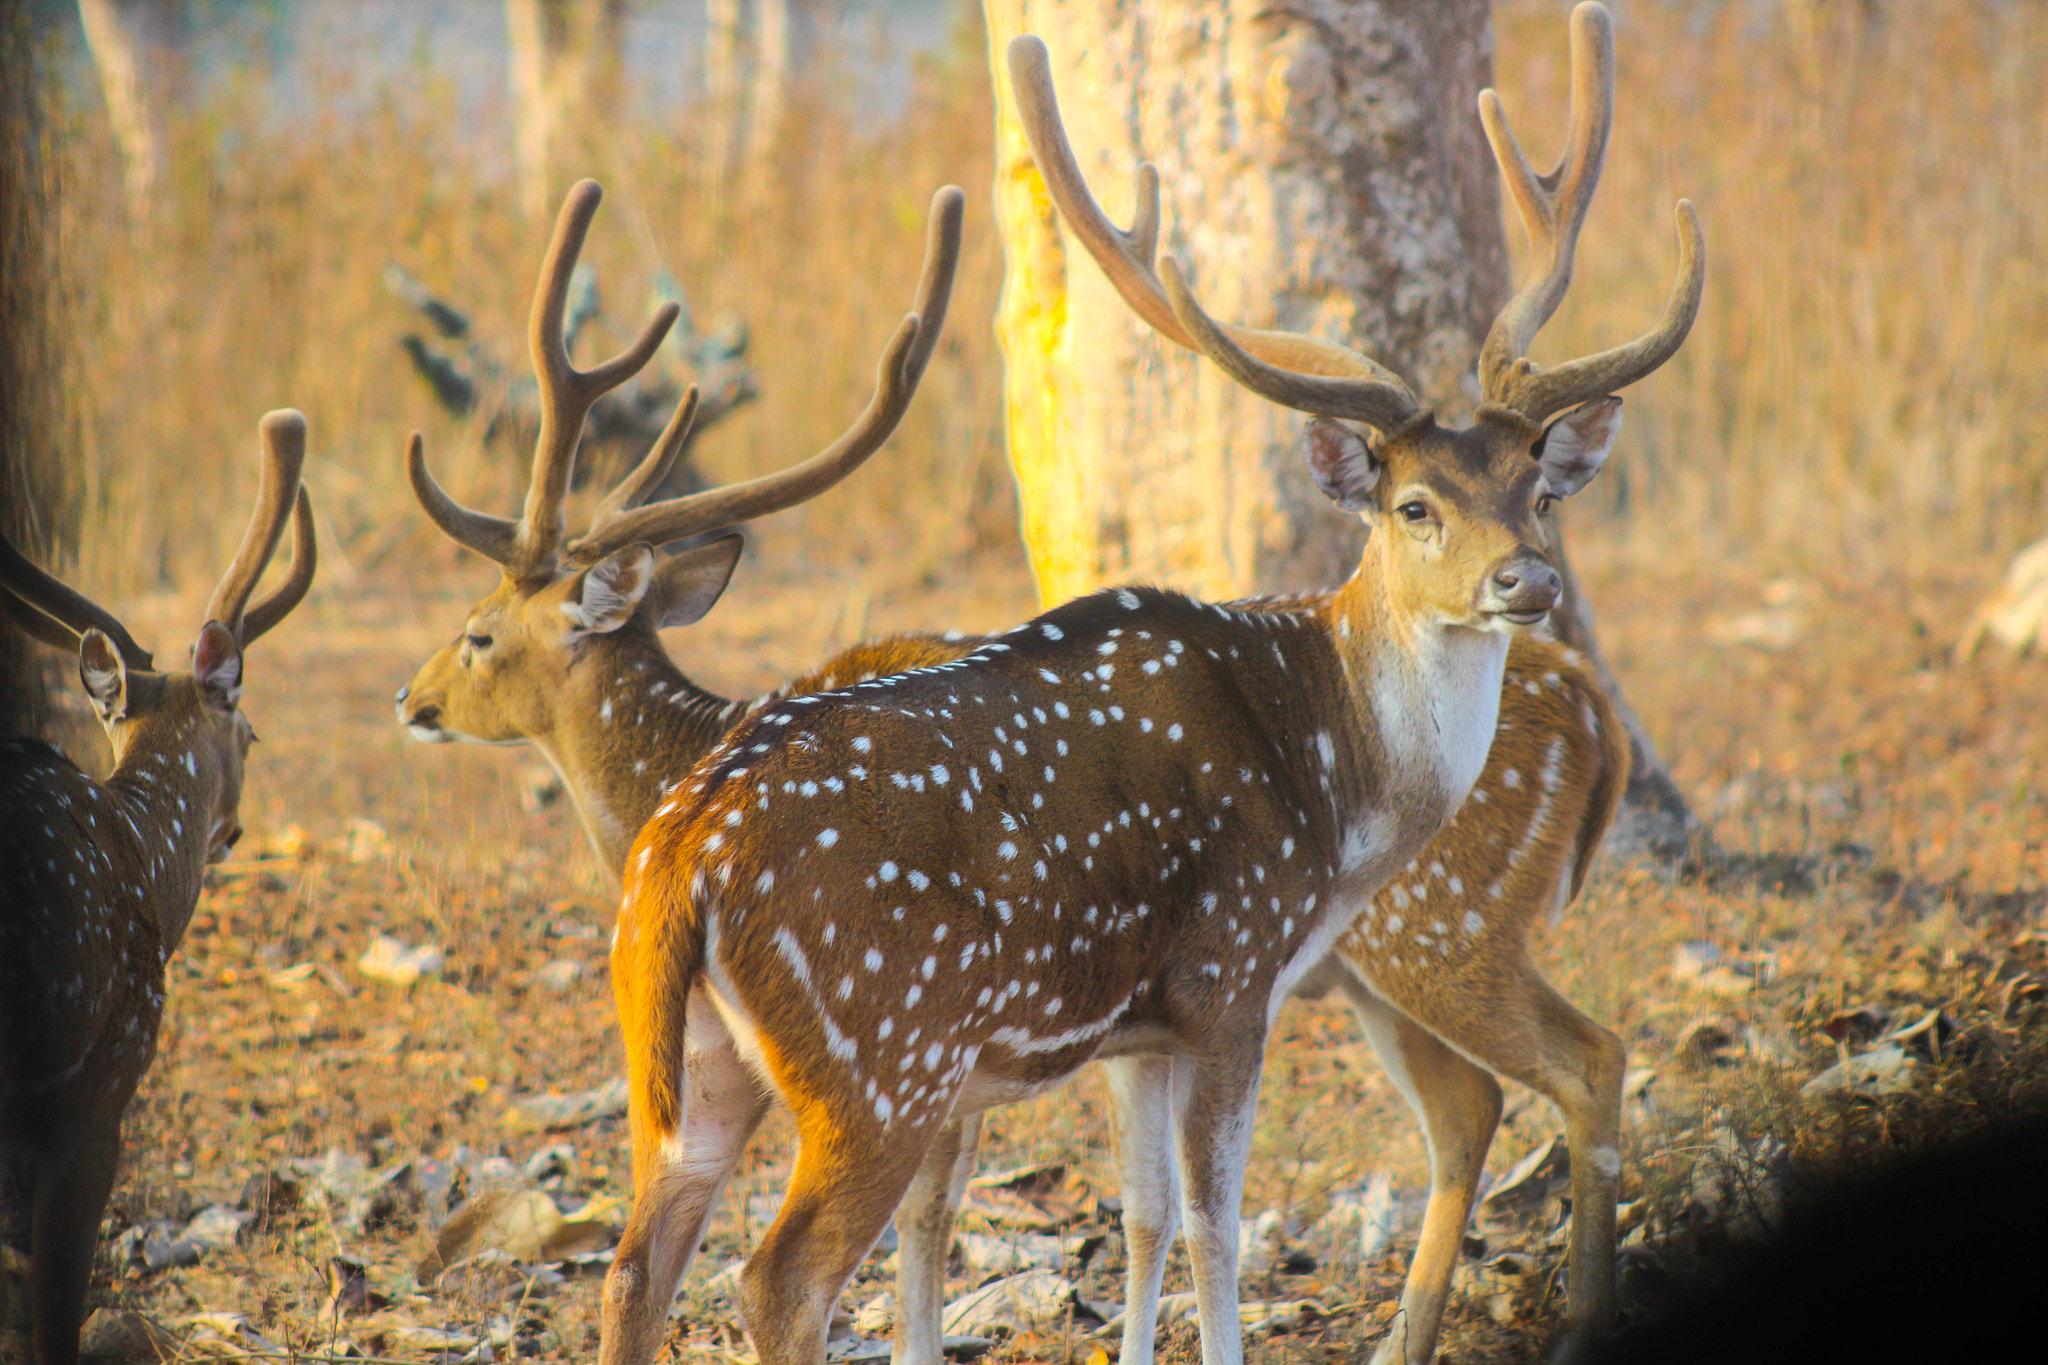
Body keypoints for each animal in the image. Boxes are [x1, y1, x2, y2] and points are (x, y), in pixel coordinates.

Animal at [597, 4, 1701, 1363]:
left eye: (1536, 491)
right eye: (1413, 505)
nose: (1527, 580)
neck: (1335, 797)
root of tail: (677, 859)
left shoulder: (1137, 1027)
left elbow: (1144, 1214)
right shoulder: (1230, 971)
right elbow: (1220, 1222)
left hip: (687, 1066)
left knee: (636, 1264)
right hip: (882, 1053)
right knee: (776, 1274)